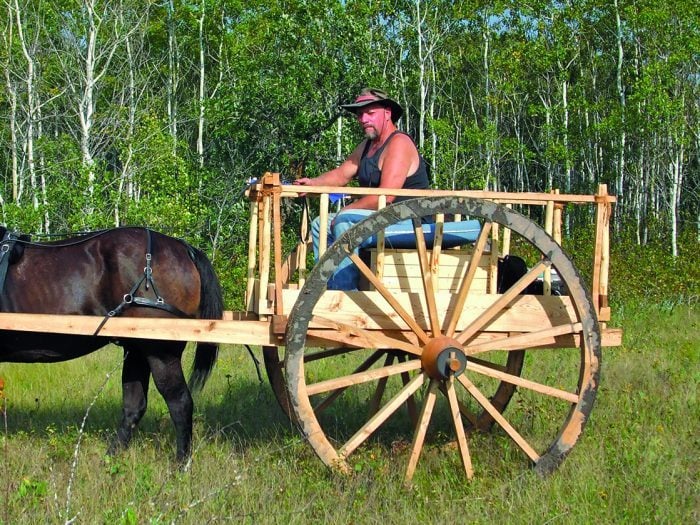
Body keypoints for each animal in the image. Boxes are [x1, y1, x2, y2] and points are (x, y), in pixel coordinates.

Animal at [0, 225, 223, 462]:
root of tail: (183, 248)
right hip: (136, 350)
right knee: (134, 406)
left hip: (160, 352)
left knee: (180, 403)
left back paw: (181, 463)